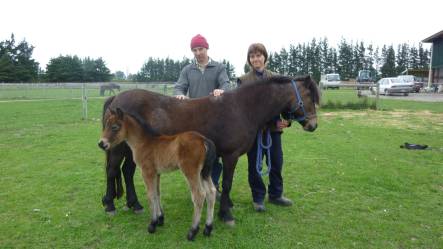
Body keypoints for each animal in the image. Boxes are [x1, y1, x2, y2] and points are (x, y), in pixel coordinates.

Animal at [98, 108, 218, 240]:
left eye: (114, 127)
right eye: (106, 125)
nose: (101, 143)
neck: (144, 143)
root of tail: (203, 140)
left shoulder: (147, 172)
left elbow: (151, 195)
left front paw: (152, 224)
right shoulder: (157, 173)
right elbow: (157, 193)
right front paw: (160, 219)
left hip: (191, 171)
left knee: (199, 195)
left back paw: (192, 231)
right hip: (204, 172)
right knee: (211, 192)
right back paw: (208, 228)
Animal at [102, 74, 320, 226]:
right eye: (309, 96)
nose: (313, 125)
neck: (242, 108)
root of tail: (116, 98)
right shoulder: (231, 156)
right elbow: (227, 183)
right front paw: (226, 214)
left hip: (132, 149)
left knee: (127, 172)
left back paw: (135, 205)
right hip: (118, 148)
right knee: (112, 171)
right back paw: (111, 206)